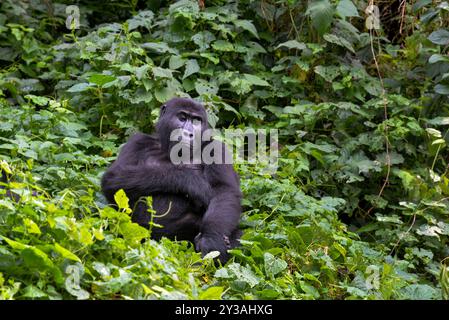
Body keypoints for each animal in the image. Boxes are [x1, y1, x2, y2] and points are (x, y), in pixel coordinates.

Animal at [101, 97, 242, 262]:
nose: (189, 133)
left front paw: (212, 238)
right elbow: (113, 178)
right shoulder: (138, 141)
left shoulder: (216, 148)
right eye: (182, 118)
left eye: (196, 121)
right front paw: (191, 181)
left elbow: (224, 190)